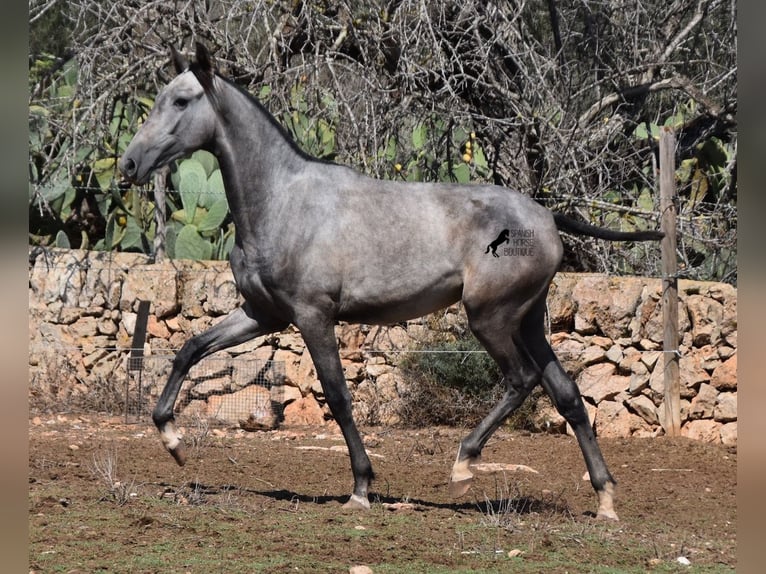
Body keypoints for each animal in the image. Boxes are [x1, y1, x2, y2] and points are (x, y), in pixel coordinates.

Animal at [120, 45, 664, 520]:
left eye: (181, 101)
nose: (129, 164)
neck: (283, 202)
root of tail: (547, 218)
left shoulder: (312, 315)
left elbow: (338, 396)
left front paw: (361, 487)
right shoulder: (263, 314)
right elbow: (189, 349)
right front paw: (172, 441)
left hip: (490, 318)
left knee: (521, 380)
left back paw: (463, 465)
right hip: (527, 320)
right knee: (567, 395)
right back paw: (605, 501)